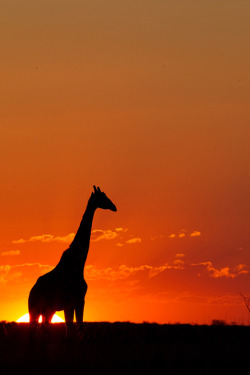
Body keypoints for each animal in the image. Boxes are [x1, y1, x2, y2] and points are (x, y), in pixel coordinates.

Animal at [27, 187, 116, 328]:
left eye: (106, 195)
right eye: (102, 197)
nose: (114, 207)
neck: (78, 264)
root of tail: (31, 291)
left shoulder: (78, 301)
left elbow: (77, 328)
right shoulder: (72, 302)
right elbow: (73, 328)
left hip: (48, 310)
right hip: (34, 309)